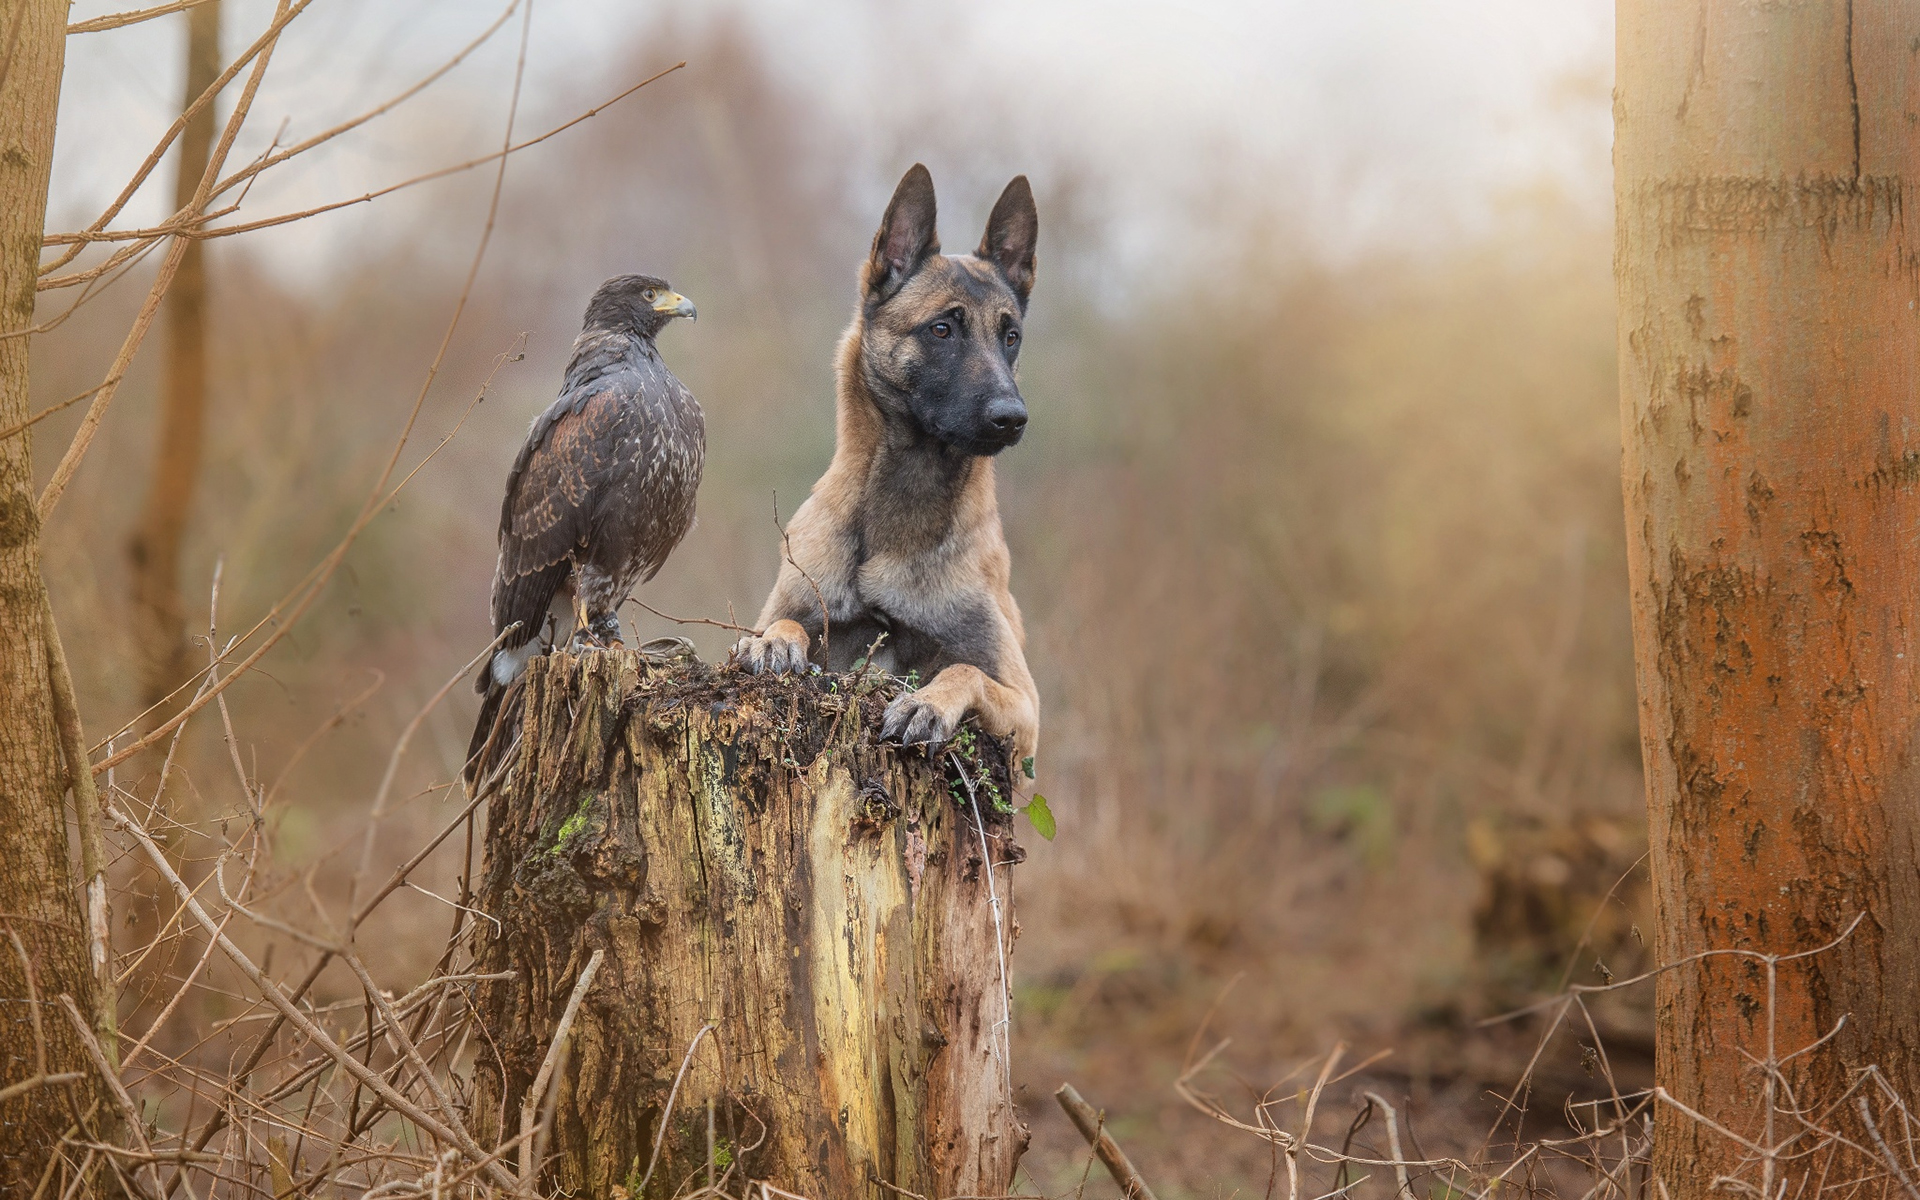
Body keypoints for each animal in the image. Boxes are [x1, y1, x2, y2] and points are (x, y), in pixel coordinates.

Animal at [729, 166, 1036, 768]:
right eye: (942, 329)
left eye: (1010, 337)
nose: (1012, 418)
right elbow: (786, 623)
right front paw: (774, 640)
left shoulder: (1026, 708)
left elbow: (964, 668)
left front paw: (926, 703)